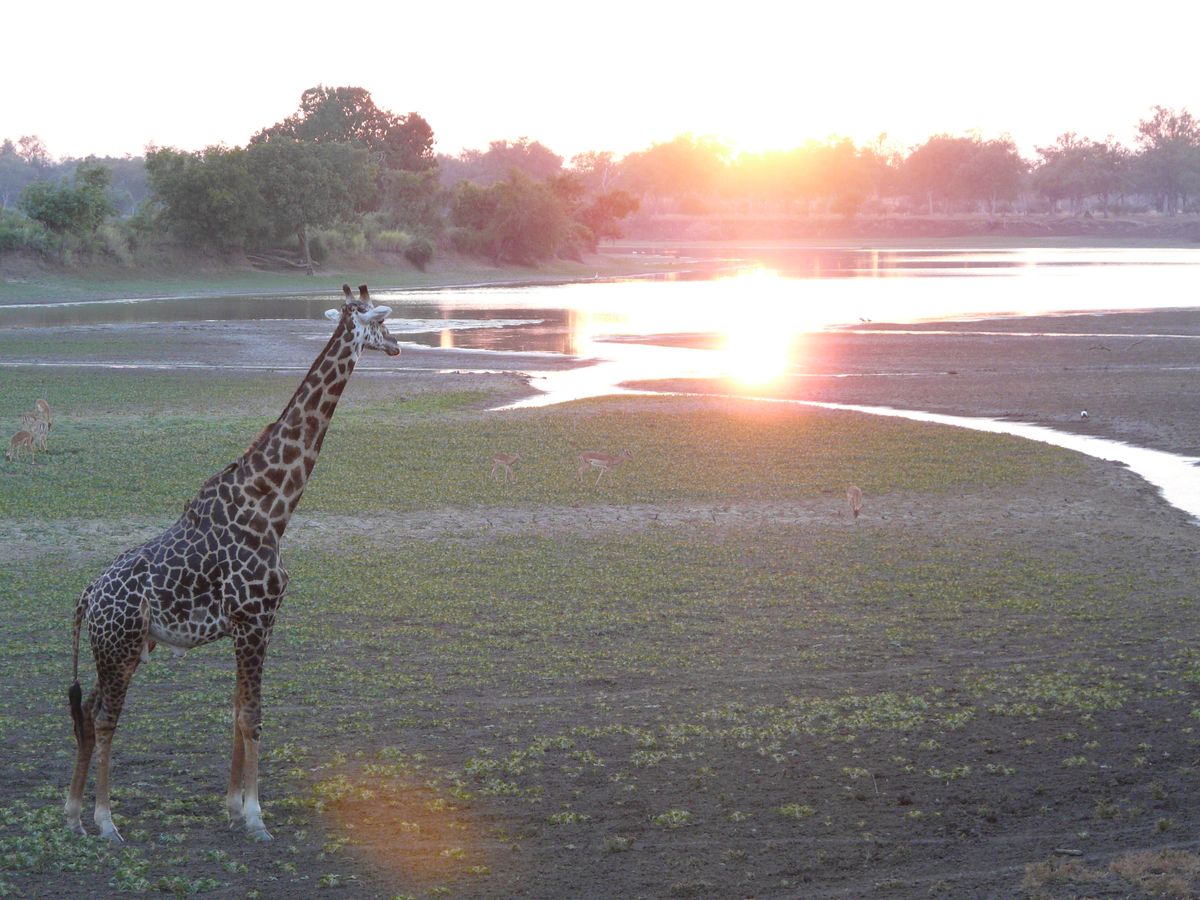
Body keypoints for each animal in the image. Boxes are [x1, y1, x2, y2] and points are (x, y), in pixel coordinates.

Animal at [65, 284, 400, 844]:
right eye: (378, 322)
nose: (396, 346)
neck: (273, 508)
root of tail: (88, 597)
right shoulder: (254, 619)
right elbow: (252, 715)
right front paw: (256, 818)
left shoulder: (256, 624)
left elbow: (237, 711)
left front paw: (232, 806)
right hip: (121, 644)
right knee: (107, 715)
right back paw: (106, 821)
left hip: (114, 650)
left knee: (88, 710)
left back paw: (72, 812)